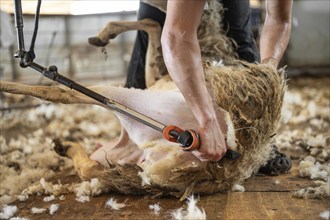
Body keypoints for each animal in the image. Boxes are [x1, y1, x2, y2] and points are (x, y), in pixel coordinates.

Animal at [0, 1, 286, 199]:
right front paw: (101, 36)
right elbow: (152, 24)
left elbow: (153, 25)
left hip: (124, 98)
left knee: (61, 91)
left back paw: (14, 81)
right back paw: (64, 146)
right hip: (125, 153)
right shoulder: (154, 75)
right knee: (90, 167)